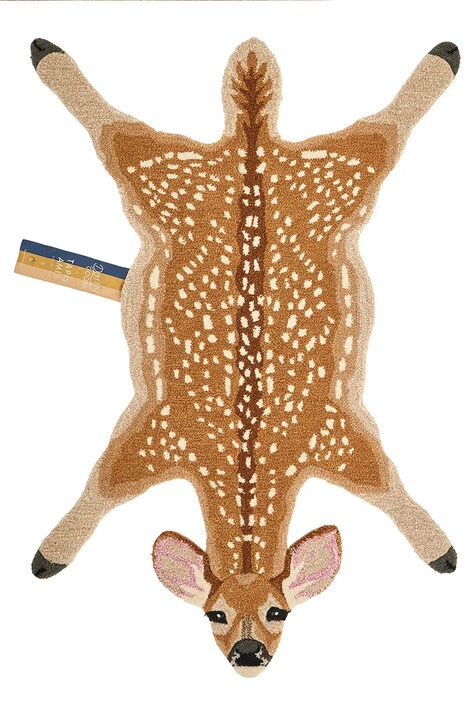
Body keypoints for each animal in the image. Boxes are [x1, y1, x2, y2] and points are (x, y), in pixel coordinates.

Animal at [29, 37, 459, 676]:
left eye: (281, 612)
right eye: (215, 614)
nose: (248, 653)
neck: (248, 468)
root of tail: (252, 140)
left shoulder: (336, 436)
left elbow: (387, 485)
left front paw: (442, 550)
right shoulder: (157, 436)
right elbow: (101, 486)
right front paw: (48, 554)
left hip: (329, 172)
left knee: (380, 132)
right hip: (169, 171)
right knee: (117, 130)